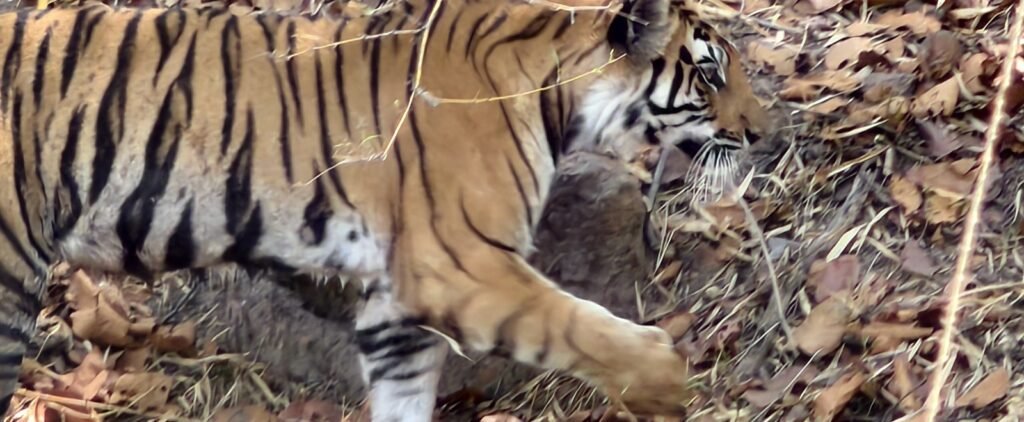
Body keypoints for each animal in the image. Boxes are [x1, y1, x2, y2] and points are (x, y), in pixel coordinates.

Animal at [0, 0, 768, 419]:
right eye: (709, 73)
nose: (762, 133)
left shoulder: (396, 301)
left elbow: (405, 397)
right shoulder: (462, 266)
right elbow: (579, 324)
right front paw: (667, 382)